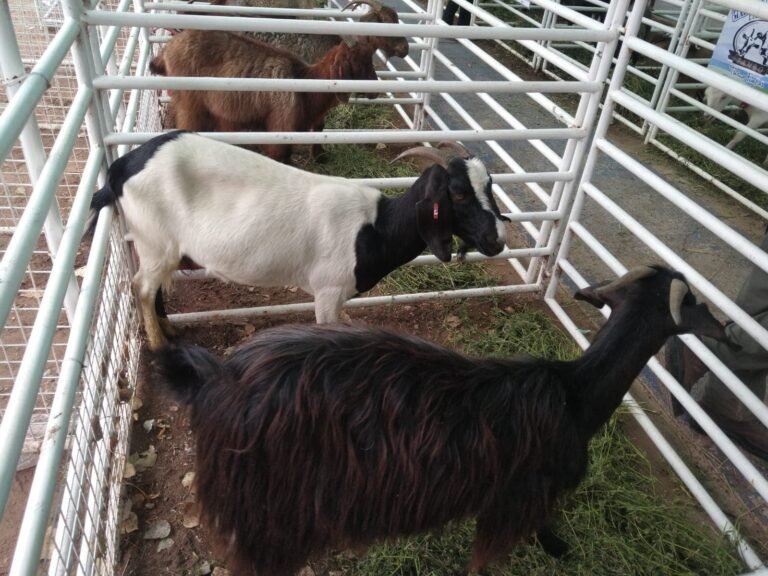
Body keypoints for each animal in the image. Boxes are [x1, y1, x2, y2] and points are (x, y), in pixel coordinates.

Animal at [88, 134, 510, 352]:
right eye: (457, 194)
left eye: (489, 186)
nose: (497, 241)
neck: (374, 228)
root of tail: (122, 167)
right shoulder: (327, 291)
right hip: (154, 240)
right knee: (142, 287)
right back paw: (159, 344)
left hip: (159, 246)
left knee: (154, 287)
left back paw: (169, 331)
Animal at [150, 30, 378, 163]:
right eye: (356, 63)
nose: (375, 92)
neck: (305, 85)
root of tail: (166, 49)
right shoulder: (280, 130)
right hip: (191, 103)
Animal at [154, 266, 728, 576]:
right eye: (695, 302)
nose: (726, 330)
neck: (574, 395)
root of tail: (216, 378)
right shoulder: (517, 501)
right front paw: (558, 549)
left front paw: (558, 547)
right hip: (268, 518)